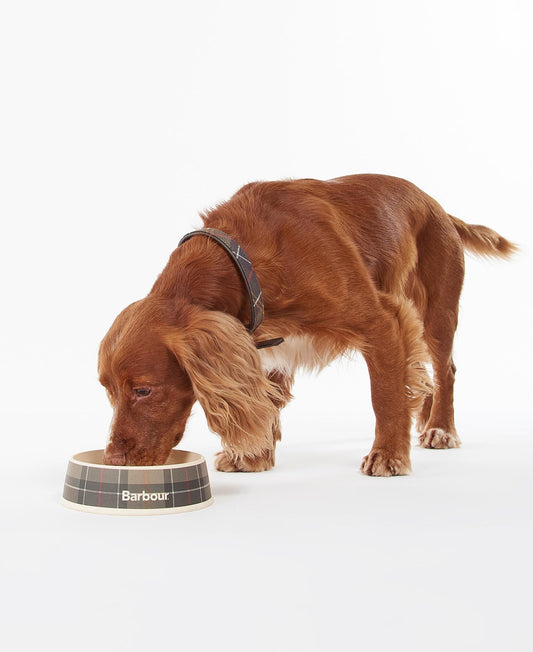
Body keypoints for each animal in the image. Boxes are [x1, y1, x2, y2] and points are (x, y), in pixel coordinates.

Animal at [97, 176, 512, 476]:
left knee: (445, 370)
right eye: (109, 392)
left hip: (436, 314)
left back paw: (441, 428)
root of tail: (439, 208)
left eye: (144, 391)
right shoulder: (264, 345)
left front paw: (388, 455)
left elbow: (385, 396)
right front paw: (254, 455)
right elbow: (266, 402)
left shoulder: (382, 320)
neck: (244, 260)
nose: (113, 460)